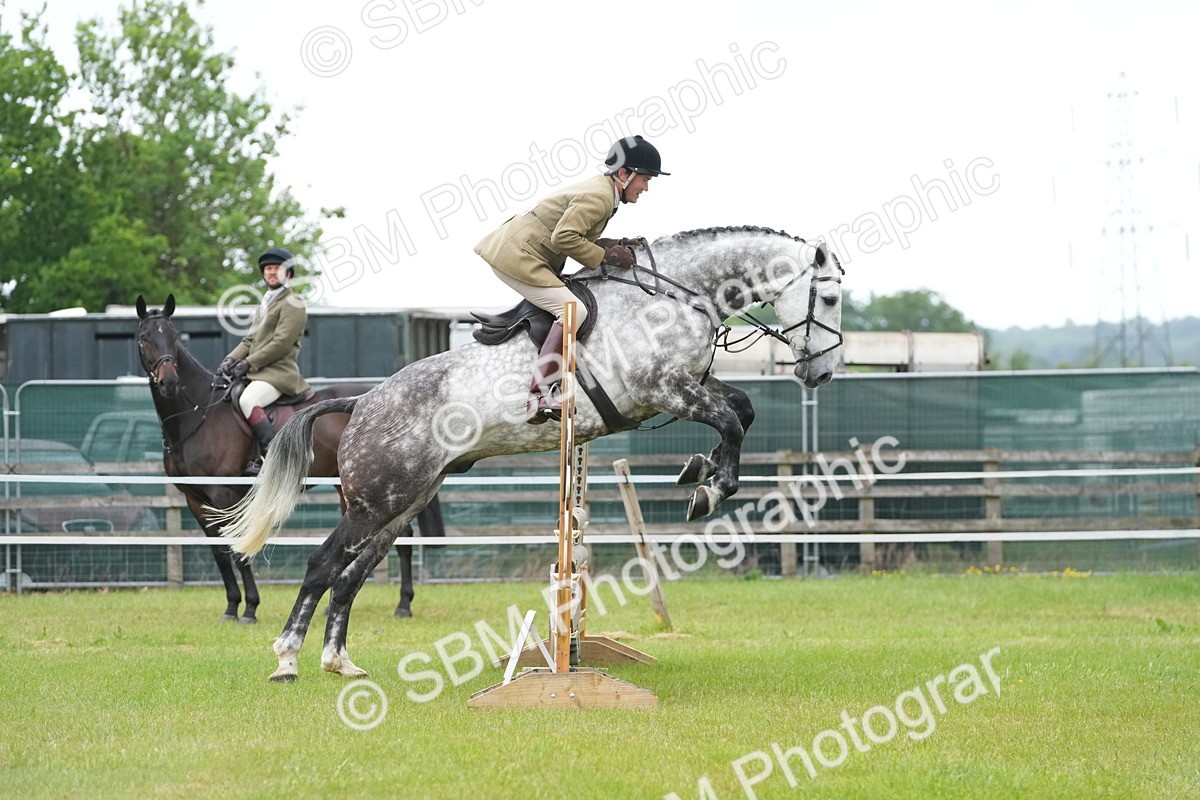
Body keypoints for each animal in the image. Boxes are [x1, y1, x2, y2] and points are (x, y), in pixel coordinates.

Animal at [134, 295, 443, 622]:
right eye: (144, 338)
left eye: (174, 337)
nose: (169, 382)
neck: (199, 415)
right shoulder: (195, 499)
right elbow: (219, 551)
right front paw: (231, 606)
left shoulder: (224, 494)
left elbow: (237, 548)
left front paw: (250, 608)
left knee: (402, 537)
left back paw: (403, 604)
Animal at [215, 226, 844, 680]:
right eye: (833, 295)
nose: (822, 373)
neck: (675, 297)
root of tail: (363, 401)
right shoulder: (663, 389)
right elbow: (731, 420)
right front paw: (708, 489)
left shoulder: (687, 386)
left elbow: (742, 408)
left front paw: (702, 471)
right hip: (376, 503)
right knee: (323, 566)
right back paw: (288, 659)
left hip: (402, 503)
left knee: (351, 575)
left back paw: (339, 662)